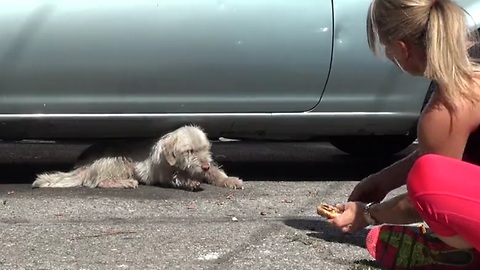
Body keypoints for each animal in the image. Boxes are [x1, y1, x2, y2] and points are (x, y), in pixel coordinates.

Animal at [31, 125, 244, 191]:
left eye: (204, 149)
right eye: (189, 151)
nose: (205, 166)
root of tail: (85, 167)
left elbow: (217, 173)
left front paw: (230, 180)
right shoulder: (164, 173)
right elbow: (176, 177)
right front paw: (189, 182)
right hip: (119, 161)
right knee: (99, 182)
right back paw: (125, 183)